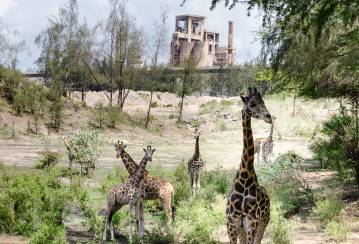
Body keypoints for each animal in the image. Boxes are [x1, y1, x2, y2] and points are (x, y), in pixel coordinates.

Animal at [228, 86, 272, 243]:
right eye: (252, 104)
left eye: (264, 102)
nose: (269, 117)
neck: (245, 179)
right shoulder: (231, 223)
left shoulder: (252, 222)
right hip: (242, 228)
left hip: (263, 222)